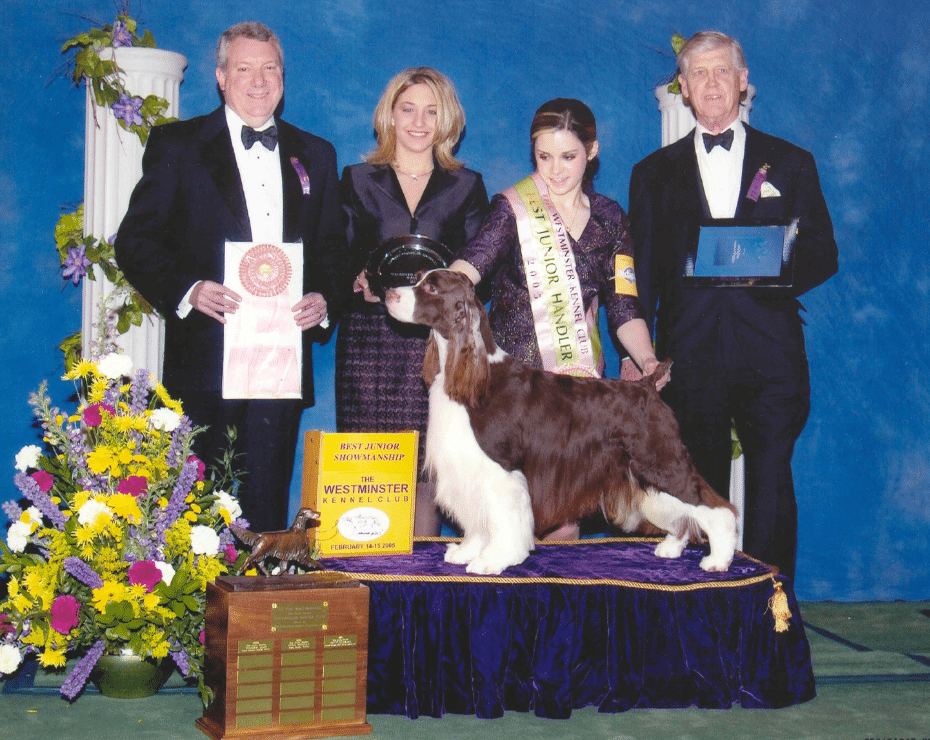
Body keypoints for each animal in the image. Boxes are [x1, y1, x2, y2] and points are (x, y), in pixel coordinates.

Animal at [380, 268, 736, 576]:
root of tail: (647, 385)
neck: (473, 374)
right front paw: (468, 551)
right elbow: (478, 519)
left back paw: (718, 558)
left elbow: (504, 519)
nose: (389, 293)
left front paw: (493, 560)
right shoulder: (471, 468)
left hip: (660, 459)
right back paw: (672, 546)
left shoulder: (502, 470)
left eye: (431, 288)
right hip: (642, 468)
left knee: (714, 507)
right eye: (417, 278)